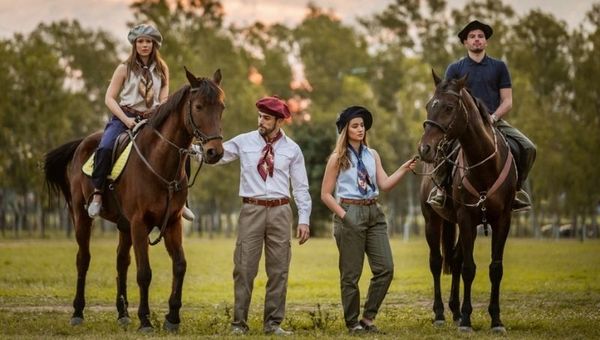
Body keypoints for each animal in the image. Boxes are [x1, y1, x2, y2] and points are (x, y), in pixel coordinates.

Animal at [42, 67, 225, 330]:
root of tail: (81, 144)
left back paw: (122, 314)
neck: (159, 162)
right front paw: (146, 320)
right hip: (82, 217)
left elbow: (180, 265)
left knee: (121, 261)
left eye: (222, 107)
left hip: (123, 225)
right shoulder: (140, 223)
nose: (214, 152)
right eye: (199, 106)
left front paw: (172, 318)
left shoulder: (172, 222)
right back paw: (77, 312)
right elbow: (144, 273)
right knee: (83, 259)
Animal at [418, 70, 516, 334]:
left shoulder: (503, 220)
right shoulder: (466, 218)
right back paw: (441, 313)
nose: (425, 149)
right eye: (429, 105)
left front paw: (496, 320)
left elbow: (495, 268)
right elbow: (469, 269)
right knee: (436, 261)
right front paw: (466, 320)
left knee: (455, 258)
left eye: (449, 107)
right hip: (432, 220)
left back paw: (454, 310)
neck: (485, 166)